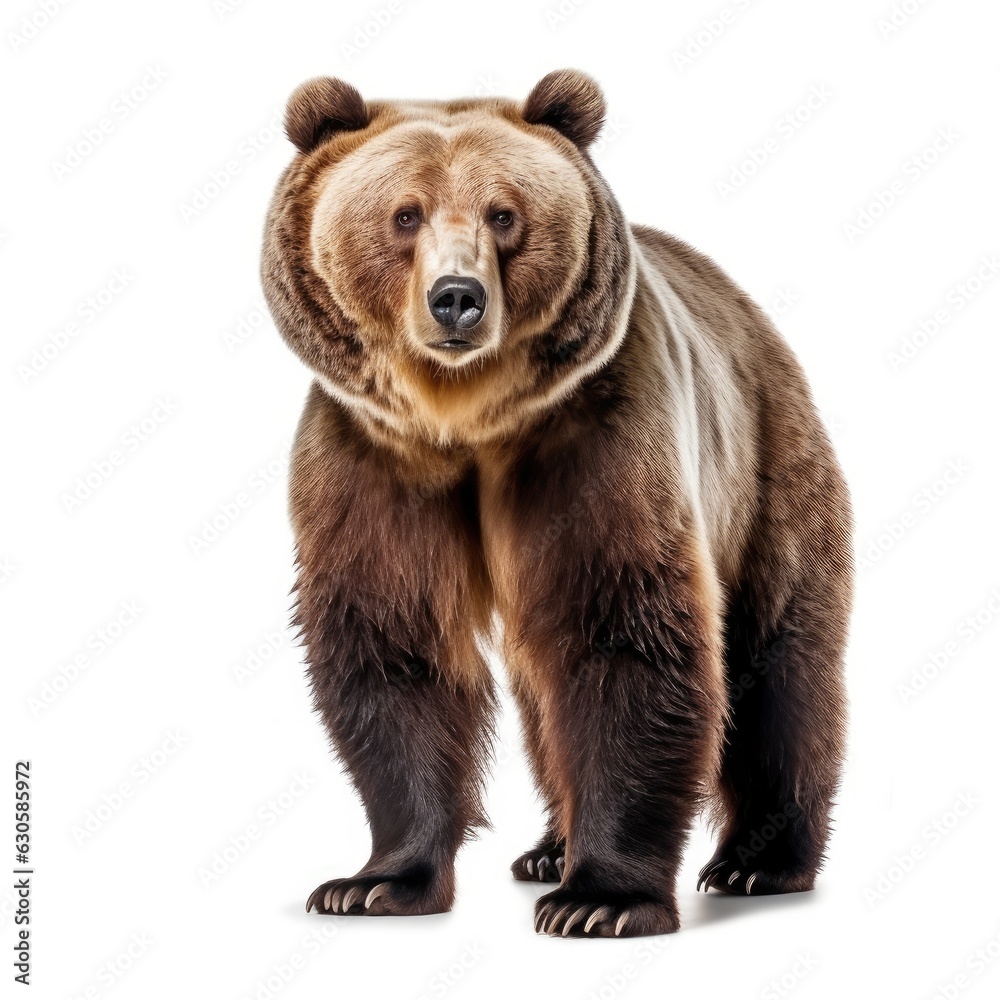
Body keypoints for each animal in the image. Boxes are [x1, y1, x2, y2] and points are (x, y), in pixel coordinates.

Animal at [260, 69, 852, 938]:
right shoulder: (371, 460)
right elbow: (395, 643)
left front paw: (600, 898)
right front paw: (373, 882)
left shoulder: (597, 437)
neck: (465, 421)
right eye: (405, 214)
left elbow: (620, 630)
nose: (457, 298)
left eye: (504, 214)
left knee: (778, 666)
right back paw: (546, 848)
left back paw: (758, 861)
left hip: (765, 469)